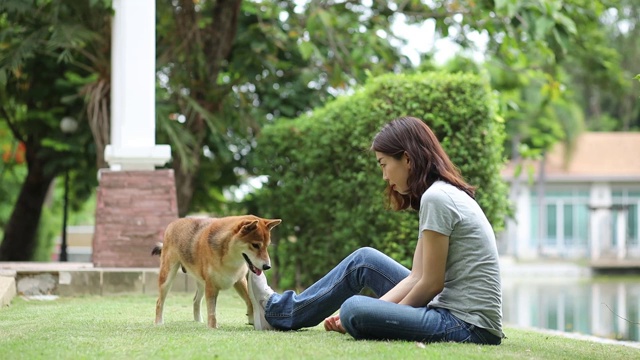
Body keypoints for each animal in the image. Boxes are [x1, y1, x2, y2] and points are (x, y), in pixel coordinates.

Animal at [151, 215, 282, 328]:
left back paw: (198, 321)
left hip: (201, 283)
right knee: (159, 302)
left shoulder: (239, 280)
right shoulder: (211, 286)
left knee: (195, 301)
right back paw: (159, 323)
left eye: (266, 246)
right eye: (255, 245)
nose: (267, 266)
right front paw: (212, 327)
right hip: (168, 277)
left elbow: (249, 301)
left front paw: (252, 319)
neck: (230, 259)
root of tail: (174, 223)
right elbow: (212, 311)